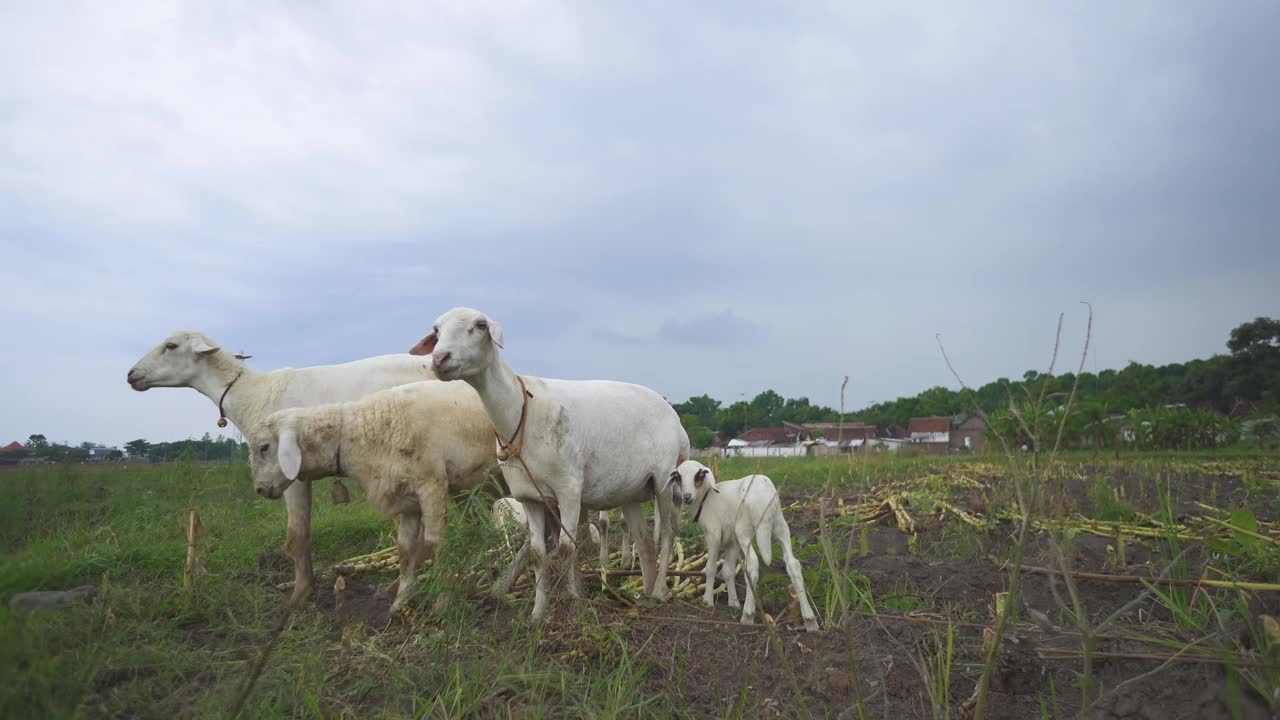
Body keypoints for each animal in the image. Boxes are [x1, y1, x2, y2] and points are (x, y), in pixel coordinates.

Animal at [126, 333, 435, 604]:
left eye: (171, 345)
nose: (131, 375)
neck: (251, 395)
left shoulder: (288, 472)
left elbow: (297, 535)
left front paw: (301, 595)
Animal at [247, 379, 496, 607]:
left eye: (263, 447)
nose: (259, 489)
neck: (362, 430)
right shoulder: (406, 496)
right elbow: (405, 547)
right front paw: (402, 600)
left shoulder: (431, 485)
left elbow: (437, 542)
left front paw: (443, 601)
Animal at [412, 304, 691, 620]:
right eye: (436, 330)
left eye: (480, 326)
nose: (439, 359)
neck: (521, 411)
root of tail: (676, 421)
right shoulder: (530, 498)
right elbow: (537, 554)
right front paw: (537, 613)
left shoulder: (568, 490)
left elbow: (568, 550)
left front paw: (574, 605)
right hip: (631, 489)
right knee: (644, 539)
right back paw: (643, 592)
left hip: (665, 478)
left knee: (667, 533)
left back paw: (659, 591)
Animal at [665, 458, 814, 627]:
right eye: (678, 477)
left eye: (699, 476)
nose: (687, 496)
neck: (705, 498)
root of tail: (762, 497)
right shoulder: (732, 541)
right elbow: (728, 571)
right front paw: (734, 603)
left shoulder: (714, 534)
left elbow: (710, 569)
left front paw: (707, 601)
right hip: (780, 526)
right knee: (792, 564)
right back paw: (810, 619)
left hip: (744, 529)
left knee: (753, 563)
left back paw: (748, 615)